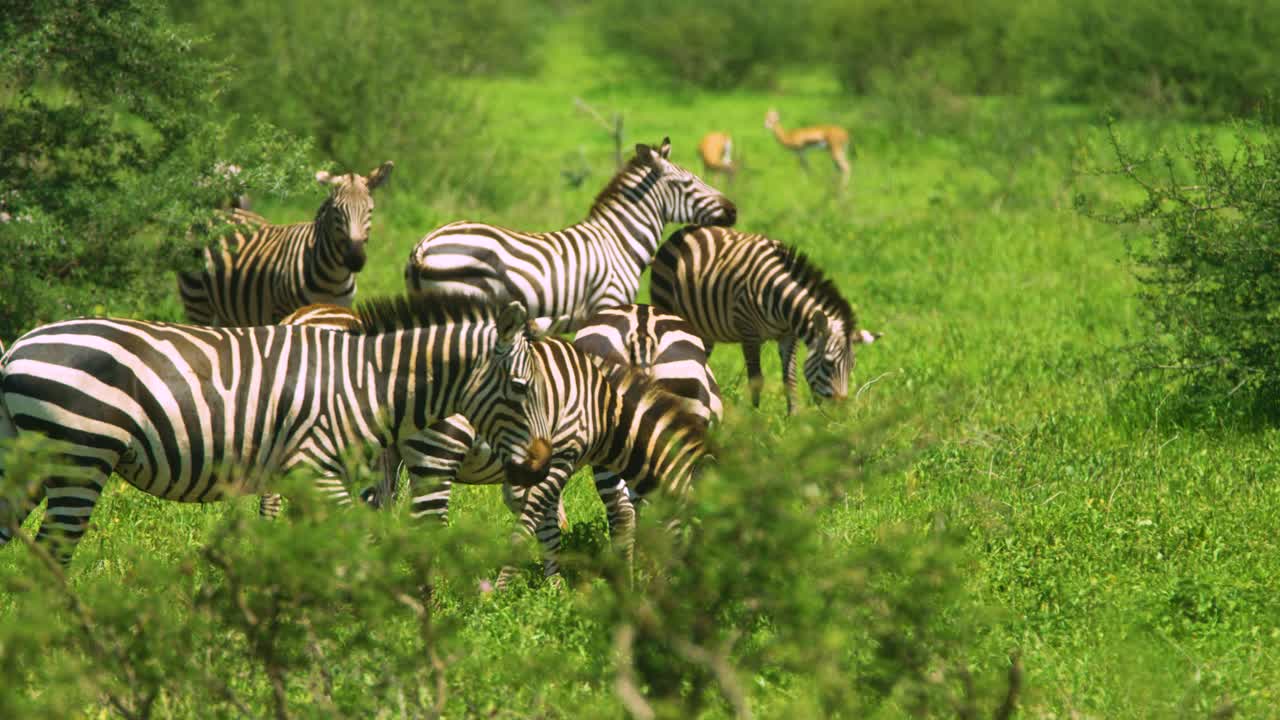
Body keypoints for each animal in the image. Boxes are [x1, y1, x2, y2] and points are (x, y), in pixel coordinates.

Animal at [0, 292, 554, 564]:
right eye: (523, 388)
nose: (541, 465)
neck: (367, 381)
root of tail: (16, 348)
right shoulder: (317, 468)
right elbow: (354, 539)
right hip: (79, 456)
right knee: (52, 555)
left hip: (25, 460)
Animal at [177, 161, 393, 327]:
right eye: (336, 211)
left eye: (370, 211)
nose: (355, 259)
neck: (334, 277)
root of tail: (220, 211)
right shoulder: (282, 312)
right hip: (197, 299)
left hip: (227, 311)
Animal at [651, 225, 880, 415]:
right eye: (829, 364)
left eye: (852, 366)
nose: (841, 413)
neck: (780, 298)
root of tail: (685, 230)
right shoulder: (749, 333)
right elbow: (756, 379)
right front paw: (756, 418)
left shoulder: (789, 336)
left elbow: (790, 378)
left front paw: (793, 418)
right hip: (667, 305)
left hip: (703, 328)